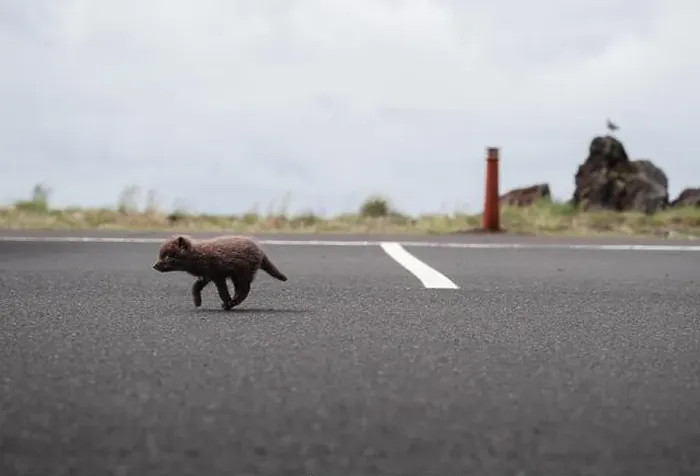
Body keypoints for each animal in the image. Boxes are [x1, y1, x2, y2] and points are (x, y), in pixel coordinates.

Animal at [152, 234, 288, 310]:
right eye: (161, 256)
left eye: (168, 257)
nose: (154, 266)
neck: (196, 255)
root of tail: (260, 251)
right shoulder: (207, 275)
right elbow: (196, 286)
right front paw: (197, 301)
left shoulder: (218, 273)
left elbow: (222, 291)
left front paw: (226, 302)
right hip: (237, 274)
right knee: (240, 289)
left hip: (243, 271)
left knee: (244, 289)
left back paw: (231, 303)